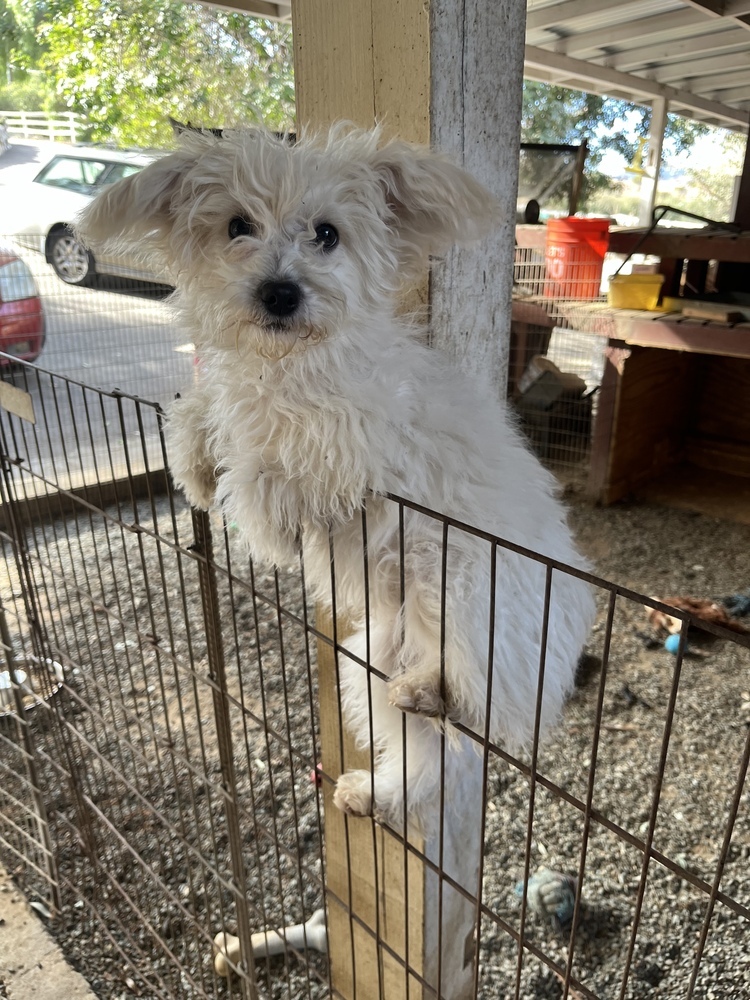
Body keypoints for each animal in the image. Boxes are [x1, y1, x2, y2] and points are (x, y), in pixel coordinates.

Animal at [79, 123, 596, 828]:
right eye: (237, 225)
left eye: (327, 233)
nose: (279, 292)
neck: (290, 368)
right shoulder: (245, 396)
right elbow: (204, 410)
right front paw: (194, 465)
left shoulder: (357, 455)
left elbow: (269, 472)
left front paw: (258, 514)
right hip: (372, 664)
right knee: (434, 757)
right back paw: (378, 791)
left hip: (464, 590)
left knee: (476, 706)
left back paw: (435, 691)